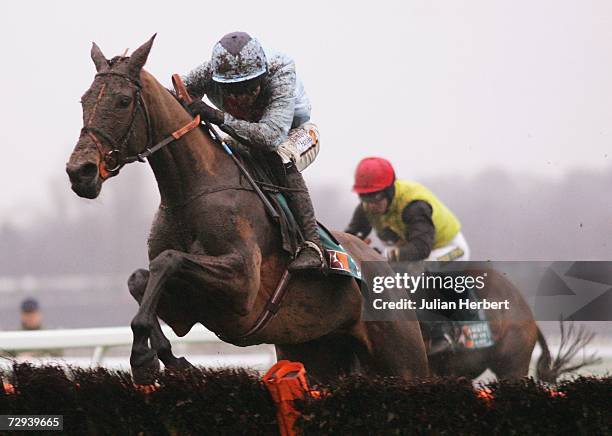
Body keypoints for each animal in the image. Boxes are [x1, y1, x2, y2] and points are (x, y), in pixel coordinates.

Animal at [63, 36, 426, 384]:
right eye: (83, 100)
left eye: (123, 101)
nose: (80, 171)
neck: (191, 193)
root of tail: (379, 259)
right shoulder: (185, 310)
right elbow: (141, 278)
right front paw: (161, 358)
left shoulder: (242, 286)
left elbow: (168, 260)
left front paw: (143, 357)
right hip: (314, 352)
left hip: (402, 359)